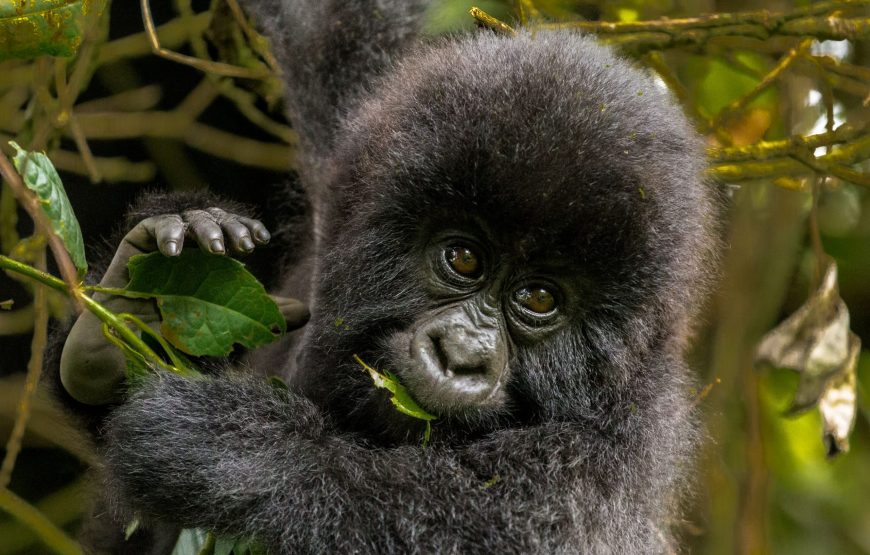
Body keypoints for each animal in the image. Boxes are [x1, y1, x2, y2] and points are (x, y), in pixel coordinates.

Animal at [56, 2, 724, 552]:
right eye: (464, 259)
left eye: (538, 297)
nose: (461, 355)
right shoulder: (353, 151)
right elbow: (326, 24)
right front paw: (138, 313)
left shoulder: (618, 446)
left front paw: (225, 448)